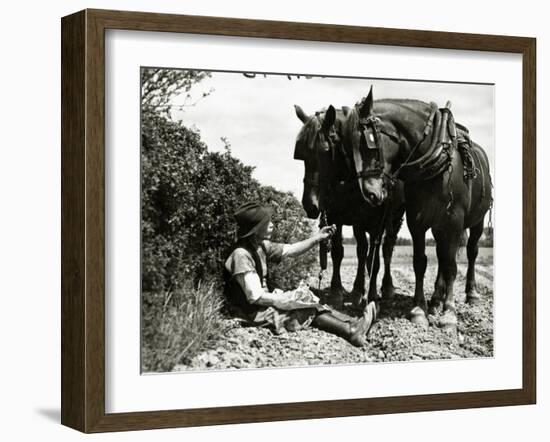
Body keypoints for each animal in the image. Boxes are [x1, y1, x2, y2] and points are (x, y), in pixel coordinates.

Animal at [296, 104, 408, 306]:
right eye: (302, 155)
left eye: (325, 151)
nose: (310, 205)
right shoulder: (340, 217)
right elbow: (340, 252)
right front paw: (339, 290)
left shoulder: (377, 221)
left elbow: (372, 257)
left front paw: (369, 292)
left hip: (395, 218)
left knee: (386, 249)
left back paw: (386, 288)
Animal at [344, 87, 496, 328]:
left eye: (367, 144)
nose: (370, 193)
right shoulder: (417, 221)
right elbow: (420, 262)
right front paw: (419, 309)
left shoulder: (454, 222)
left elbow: (452, 266)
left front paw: (449, 313)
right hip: (439, 226)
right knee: (441, 256)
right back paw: (435, 300)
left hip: (476, 222)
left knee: (471, 252)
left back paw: (470, 293)